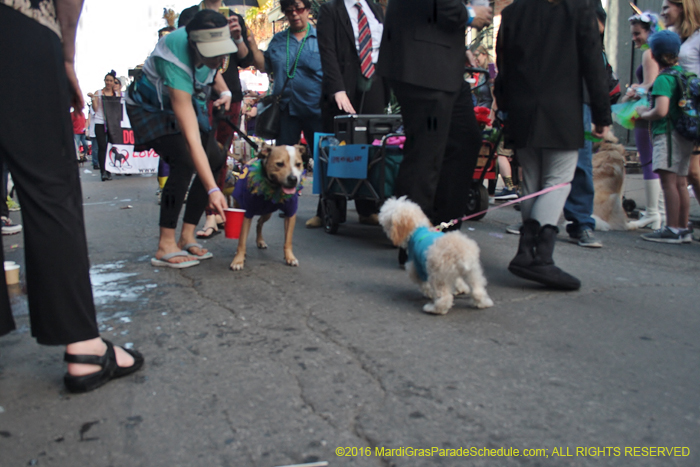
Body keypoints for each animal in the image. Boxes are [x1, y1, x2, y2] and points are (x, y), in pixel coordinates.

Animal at [230, 144, 306, 272]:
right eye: (279, 164)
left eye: (298, 164)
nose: (293, 179)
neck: (273, 186)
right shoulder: (246, 214)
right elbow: (242, 240)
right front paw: (238, 260)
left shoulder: (290, 214)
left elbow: (288, 240)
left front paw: (289, 257)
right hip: (239, 207)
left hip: (267, 213)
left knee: (259, 223)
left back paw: (260, 241)